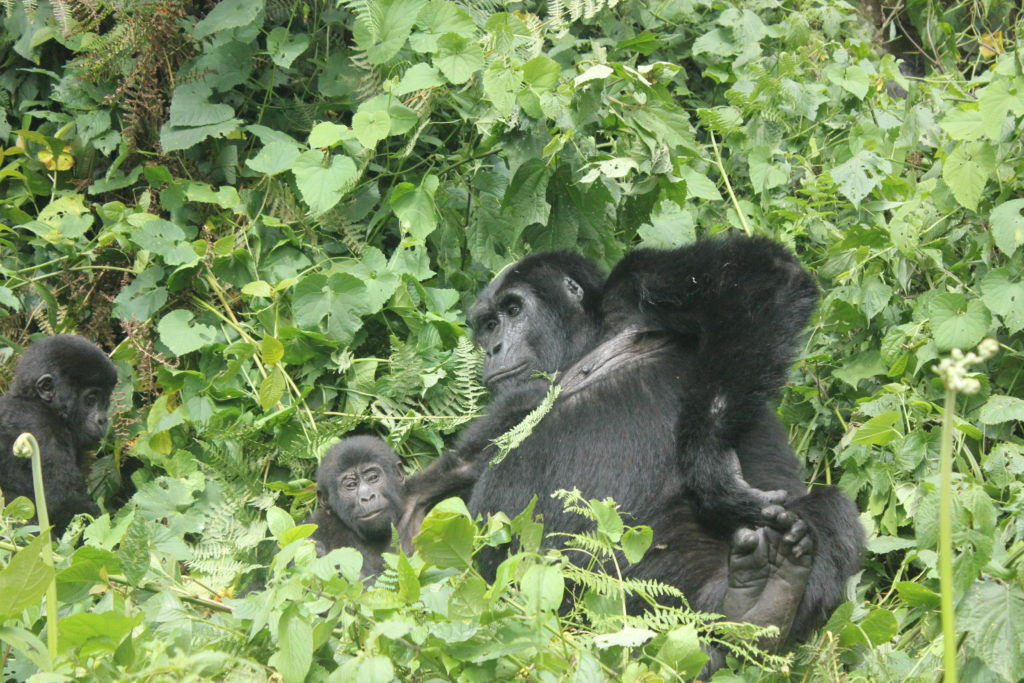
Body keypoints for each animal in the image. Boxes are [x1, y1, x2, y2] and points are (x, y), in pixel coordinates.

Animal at [401, 237, 864, 651]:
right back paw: (752, 607)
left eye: (513, 310)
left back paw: (761, 605)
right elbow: (420, 507)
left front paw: (712, 468)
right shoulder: (504, 413)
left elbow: (758, 275)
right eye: (487, 325)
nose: (493, 348)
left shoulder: (634, 281)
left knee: (830, 508)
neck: (584, 344)